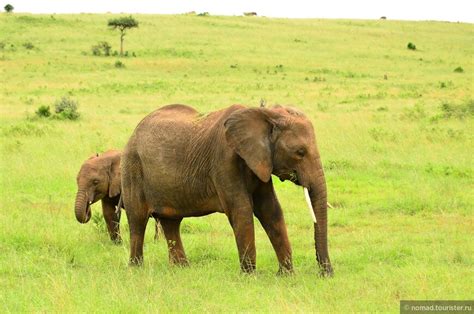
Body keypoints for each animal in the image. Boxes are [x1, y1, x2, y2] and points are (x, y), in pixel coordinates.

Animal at [122, 104, 334, 276]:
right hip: (132, 168)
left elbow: (271, 210)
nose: (326, 273)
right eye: (300, 152)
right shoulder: (224, 160)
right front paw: (250, 276)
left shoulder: (260, 162)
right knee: (138, 220)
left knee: (171, 222)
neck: (265, 115)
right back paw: (136, 268)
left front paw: (286, 275)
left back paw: (182, 268)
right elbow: (241, 210)